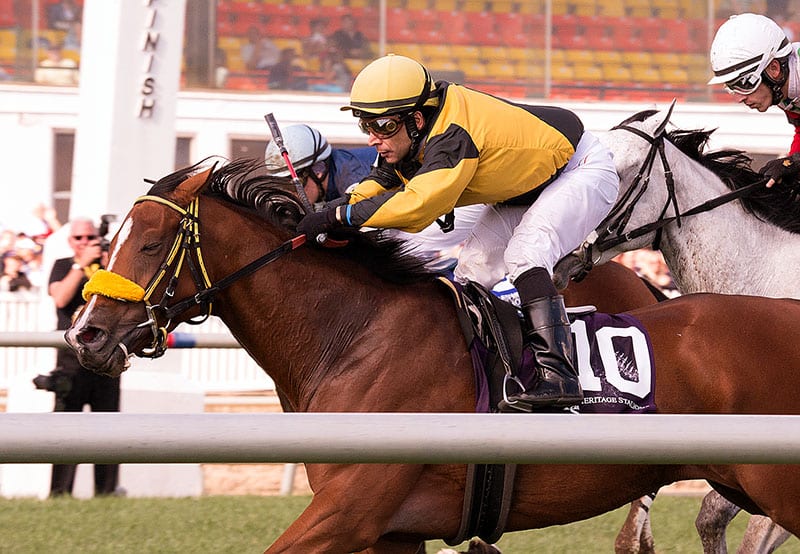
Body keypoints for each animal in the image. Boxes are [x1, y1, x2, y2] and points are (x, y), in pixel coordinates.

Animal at [65, 157, 800, 548]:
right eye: (111, 237)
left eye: (150, 244)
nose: (85, 335)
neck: (354, 336)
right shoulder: (393, 529)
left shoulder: (350, 511)